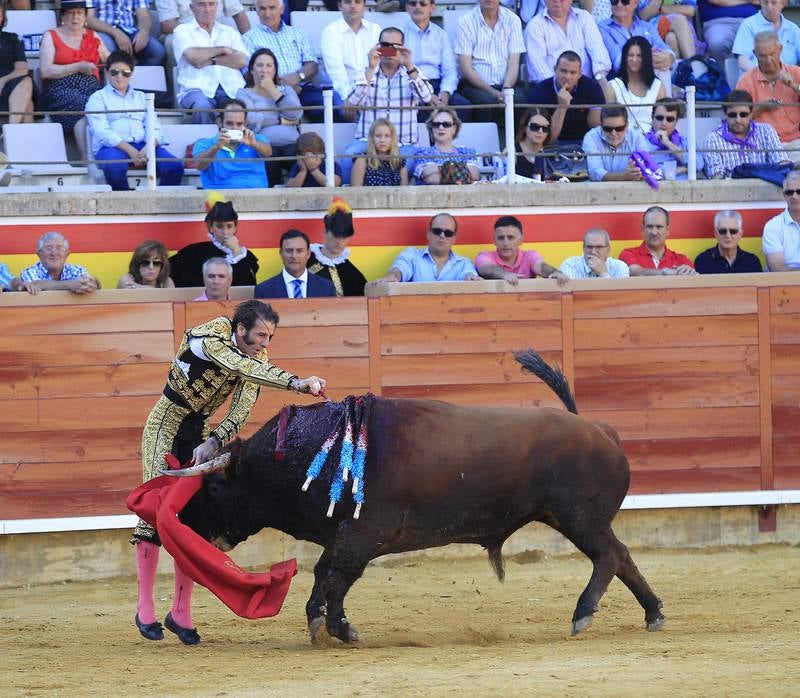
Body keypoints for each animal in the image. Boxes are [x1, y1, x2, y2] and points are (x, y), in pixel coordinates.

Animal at [172, 348, 664, 640]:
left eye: (213, 485)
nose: (185, 526)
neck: (312, 450)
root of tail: (600, 430)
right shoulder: (343, 534)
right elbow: (324, 574)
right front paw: (325, 623)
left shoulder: (362, 534)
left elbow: (336, 577)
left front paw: (335, 627)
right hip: (574, 518)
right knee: (622, 556)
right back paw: (653, 614)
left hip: (578, 517)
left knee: (609, 556)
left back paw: (583, 614)